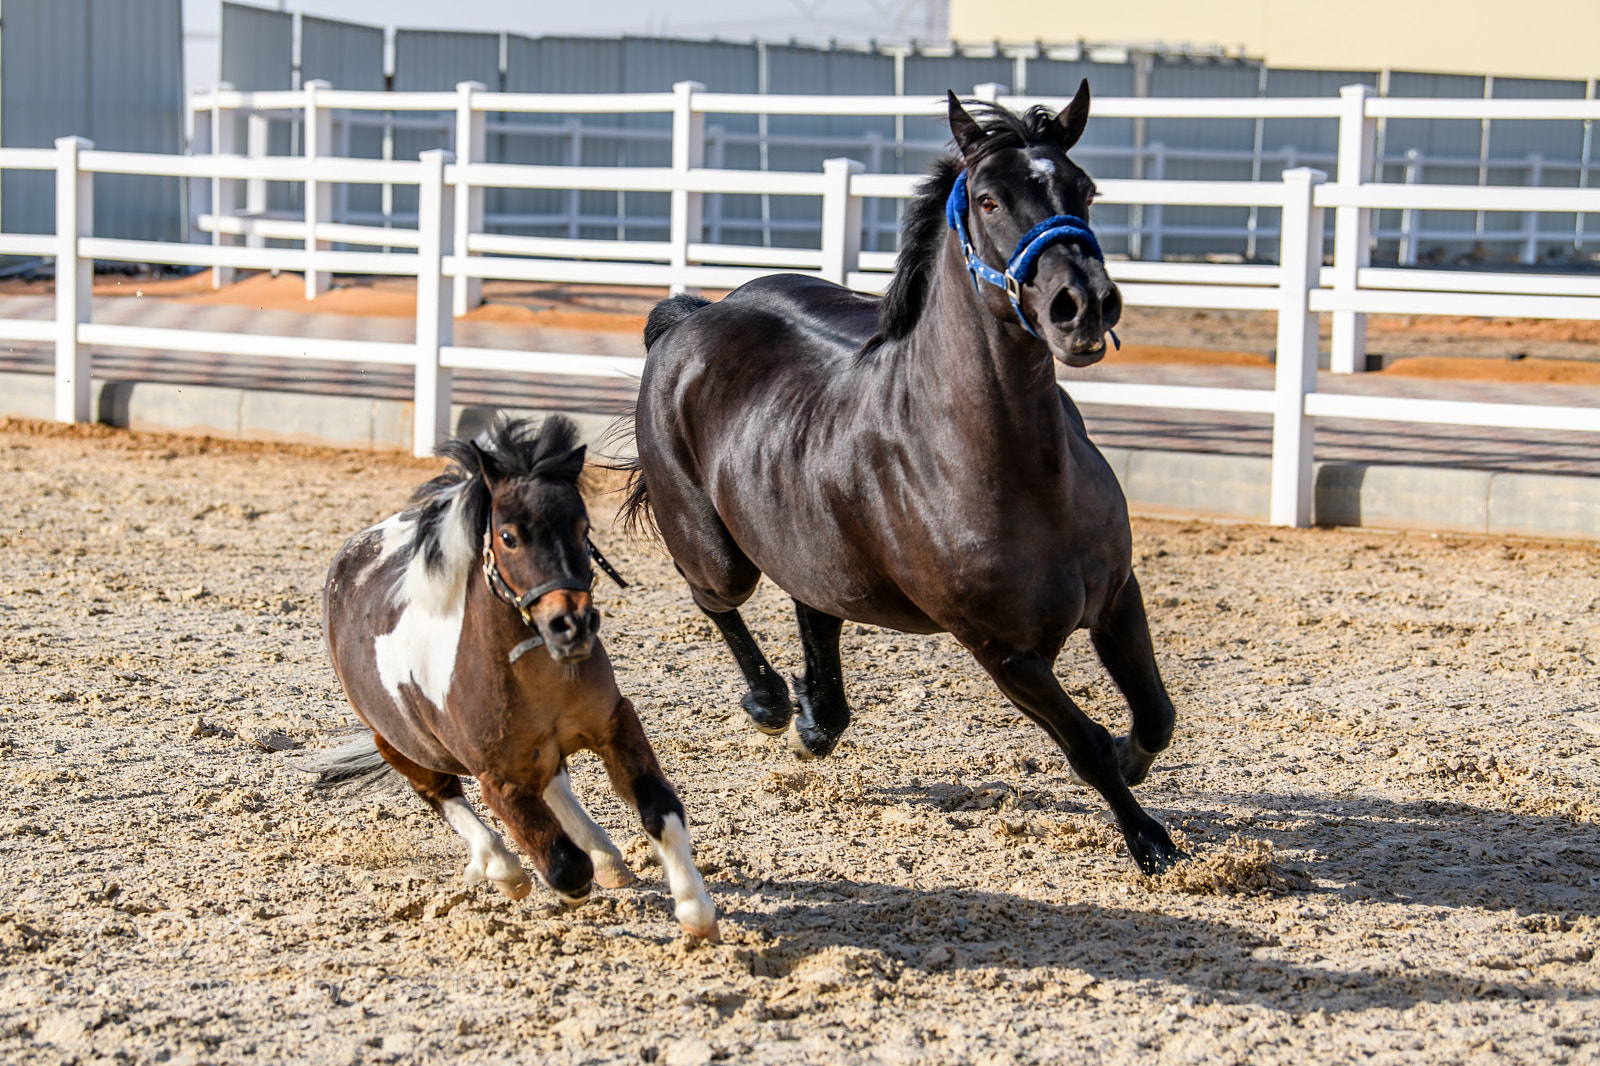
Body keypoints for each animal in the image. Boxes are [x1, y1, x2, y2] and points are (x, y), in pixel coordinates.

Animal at [309, 415, 718, 939]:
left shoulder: (615, 724)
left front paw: (695, 911)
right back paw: (502, 869)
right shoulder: (498, 781)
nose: (571, 625)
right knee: (443, 795)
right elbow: (565, 867)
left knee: (554, 781)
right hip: (398, 743)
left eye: (583, 527)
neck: (533, 673)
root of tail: (352, 553)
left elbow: (660, 811)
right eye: (508, 536)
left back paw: (605, 857)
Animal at [622, 84, 1186, 876]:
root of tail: (691, 319)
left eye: (1085, 189)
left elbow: (1156, 716)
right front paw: (1151, 843)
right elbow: (1086, 748)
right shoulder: (1005, 653)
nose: (1082, 305)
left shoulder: (1114, 598)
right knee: (715, 596)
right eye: (987, 199)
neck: (1016, 472)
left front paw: (1138, 767)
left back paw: (816, 719)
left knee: (816, 606)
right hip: (716, 551)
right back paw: (771, 703)